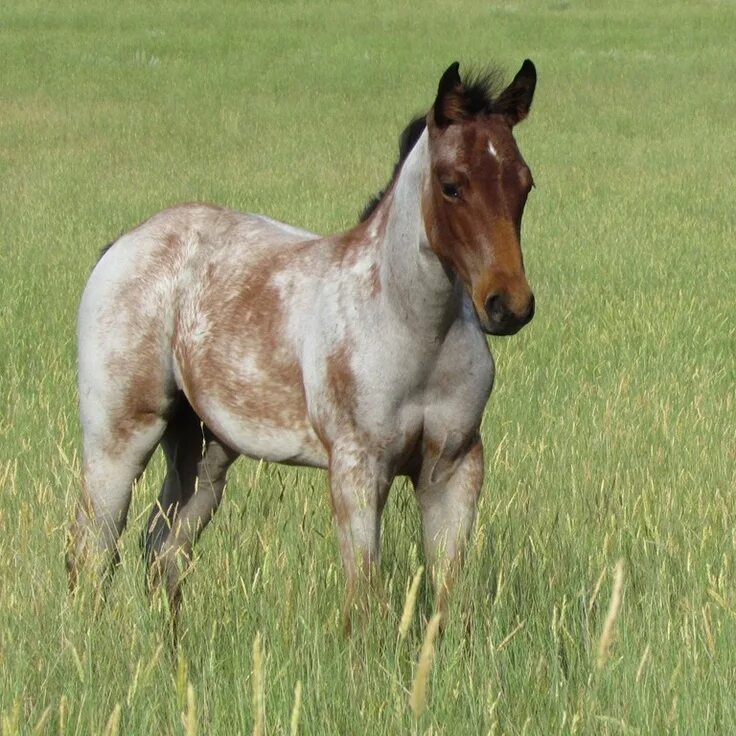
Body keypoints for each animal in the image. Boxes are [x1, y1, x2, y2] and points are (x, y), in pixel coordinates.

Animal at [69, 60, 536, 632]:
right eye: (452, 186)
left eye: (525, 185)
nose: (508, 305)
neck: (416, 332)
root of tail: (123, 244)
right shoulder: (357, 468)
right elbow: (363, 598)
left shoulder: (453, 467)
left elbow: (450, 595)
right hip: (119, 435)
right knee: (93, 550)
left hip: (204, 451)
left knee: (163, 550)